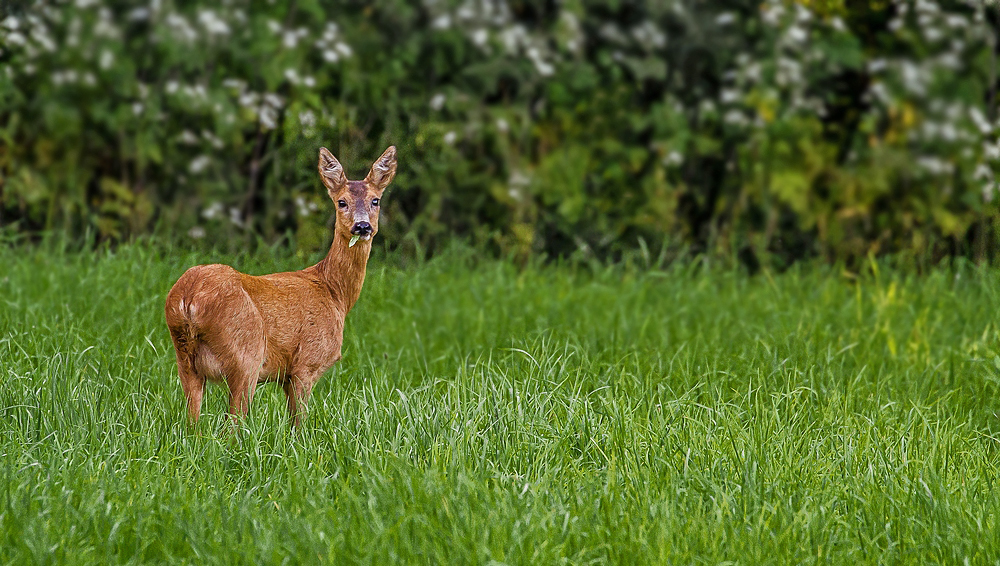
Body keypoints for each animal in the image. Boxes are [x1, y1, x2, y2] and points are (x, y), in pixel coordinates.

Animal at [166, 145, 396, 426]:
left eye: (376, 201)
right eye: (342, 202)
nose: (362, 226)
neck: (335, 293)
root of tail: (188, 299)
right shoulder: (306, 363)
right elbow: (299, 425)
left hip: (185, 359)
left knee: (191, 423)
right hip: (246, 355)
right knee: (231, 424)